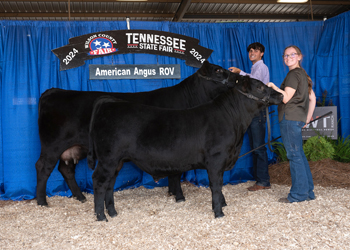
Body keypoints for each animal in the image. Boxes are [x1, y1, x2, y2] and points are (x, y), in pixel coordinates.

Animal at [35, 61, 238, 206]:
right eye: (217, 70)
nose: (236, 76)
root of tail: (53, 91)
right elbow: (176, 172)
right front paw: (179, 196)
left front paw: (172, 192)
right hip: (52, 145)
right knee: (43, 167)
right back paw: (42, 201)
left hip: (72, 148)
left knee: (66, 169)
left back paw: (80, 197)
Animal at [88, 76, 284, 221]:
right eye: (259, 87)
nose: (280, 95)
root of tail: (111, 103)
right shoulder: (216, 159)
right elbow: (216, 185)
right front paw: (219, 212)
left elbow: (219, 186)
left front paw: (222, 204)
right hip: (108, 158)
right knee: (99, 181)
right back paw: (101, 216)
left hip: (117, 161)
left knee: (110, 183)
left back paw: (113, 212)